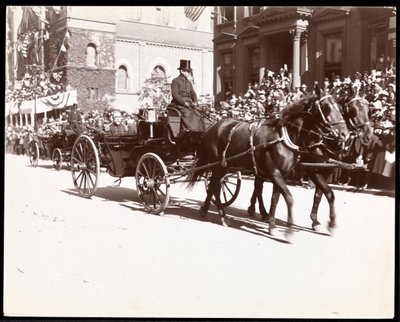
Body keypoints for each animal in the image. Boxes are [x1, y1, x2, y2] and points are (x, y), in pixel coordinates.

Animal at [186, 91, 348, 236]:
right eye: (326, 108)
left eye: (340, 108)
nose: (345, 134)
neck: (284, 137)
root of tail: (211, 127)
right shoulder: (279, 172)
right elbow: (290, 198)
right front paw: (289, 228)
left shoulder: (283, 174)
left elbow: (279, 198)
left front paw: (273, 224)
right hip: (218, 165)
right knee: (216, 186)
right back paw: (222, 215)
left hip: (226, 166)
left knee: (220, 186)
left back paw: (209, 209)